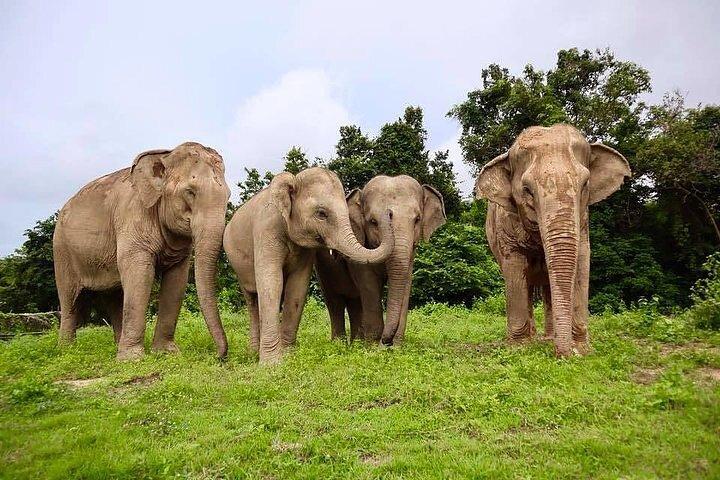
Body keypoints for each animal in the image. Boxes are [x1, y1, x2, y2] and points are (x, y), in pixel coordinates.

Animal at [53, 142, 231, 360]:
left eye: (228, 196)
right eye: (190, 192)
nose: (218, 356)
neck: (165, 154)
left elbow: (177, 281)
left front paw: (167, 354)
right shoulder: (131, 217)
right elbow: (139, 274)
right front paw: (132, 360)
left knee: (114, 296)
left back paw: (115, 346)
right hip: (62, 250)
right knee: (70, 300)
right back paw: (66, 351)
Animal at [223, 167, 395, 365]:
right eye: (321, 213)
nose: (389, 212)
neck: (295, 179)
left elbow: (298, 286)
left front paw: (289, 357)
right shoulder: (266, 229)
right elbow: (271, 282)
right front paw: (271, 365)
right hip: (237, 265)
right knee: (252, 300)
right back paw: (252, 354)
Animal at [315, 175, 446, 345]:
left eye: (417, 219)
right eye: (373, 222)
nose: (386, 341)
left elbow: (405, 282)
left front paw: (395, 346)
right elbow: (369, 284)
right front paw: (373, 346)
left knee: (355, 301)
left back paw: (356, 344)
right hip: (322, 266)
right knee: (335, 301)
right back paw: (341, 344)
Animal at [475, 124, 630, 357]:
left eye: (585, 184)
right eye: (527, 190)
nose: (563, 355)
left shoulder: (583, 222)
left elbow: (582, 261)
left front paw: (582, 348)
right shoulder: (505, 226)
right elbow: (514, 268)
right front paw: (519, 347)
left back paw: (548, 337)